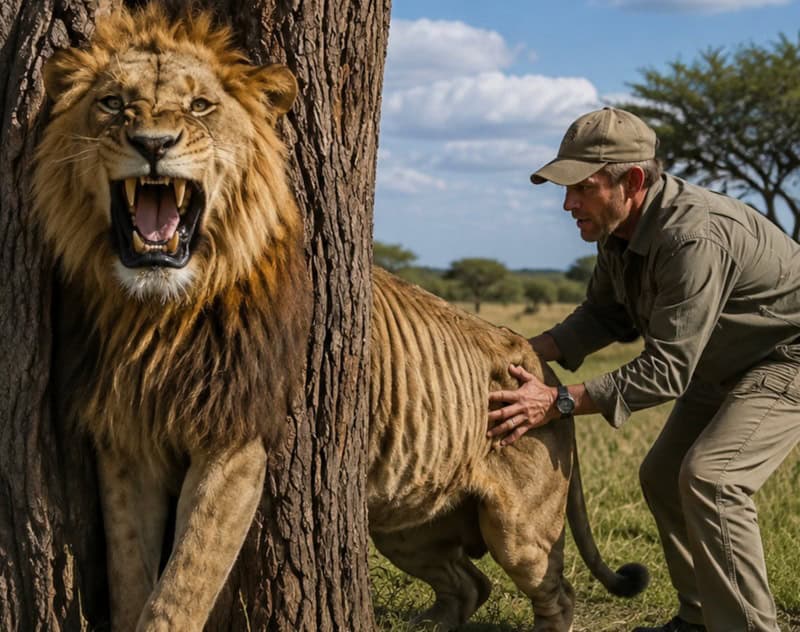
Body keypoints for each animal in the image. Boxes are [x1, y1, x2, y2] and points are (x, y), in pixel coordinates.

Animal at [33, 5, 647, 632]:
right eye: (112, 103)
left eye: (200, 105)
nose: (152, 143)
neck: (161, 313)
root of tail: (536, 363)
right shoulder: (123, 444)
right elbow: (131, 581)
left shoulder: (237, 438)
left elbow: (182, 586)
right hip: (404, 525)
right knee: (468, 584)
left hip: (520, 527)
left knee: (554, 591)